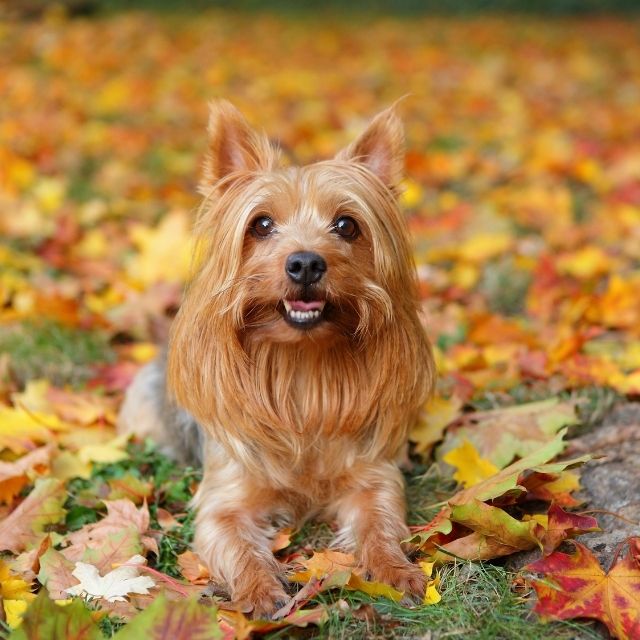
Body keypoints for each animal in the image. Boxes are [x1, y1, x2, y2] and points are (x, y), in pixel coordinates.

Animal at [116, 101, 436, 620]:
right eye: (261, 224)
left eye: (347, 225)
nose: (305, 263)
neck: (300, 366)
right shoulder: (224, 499)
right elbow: (235, 541)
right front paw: (260, 589)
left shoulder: (373, 478)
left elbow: (380, 522)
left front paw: (396, 570)